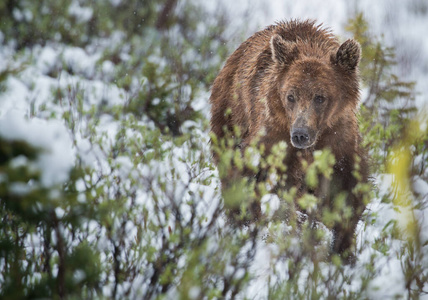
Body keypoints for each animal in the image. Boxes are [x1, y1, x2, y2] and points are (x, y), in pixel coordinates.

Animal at [210, 19, 368, 258]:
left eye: (320, 97)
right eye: (290, 96)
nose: (300, 134)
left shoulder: (339, 139)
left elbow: (347, 187)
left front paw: (342, 248)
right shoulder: (273, 135)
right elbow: (253, 175)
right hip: (229, 115)